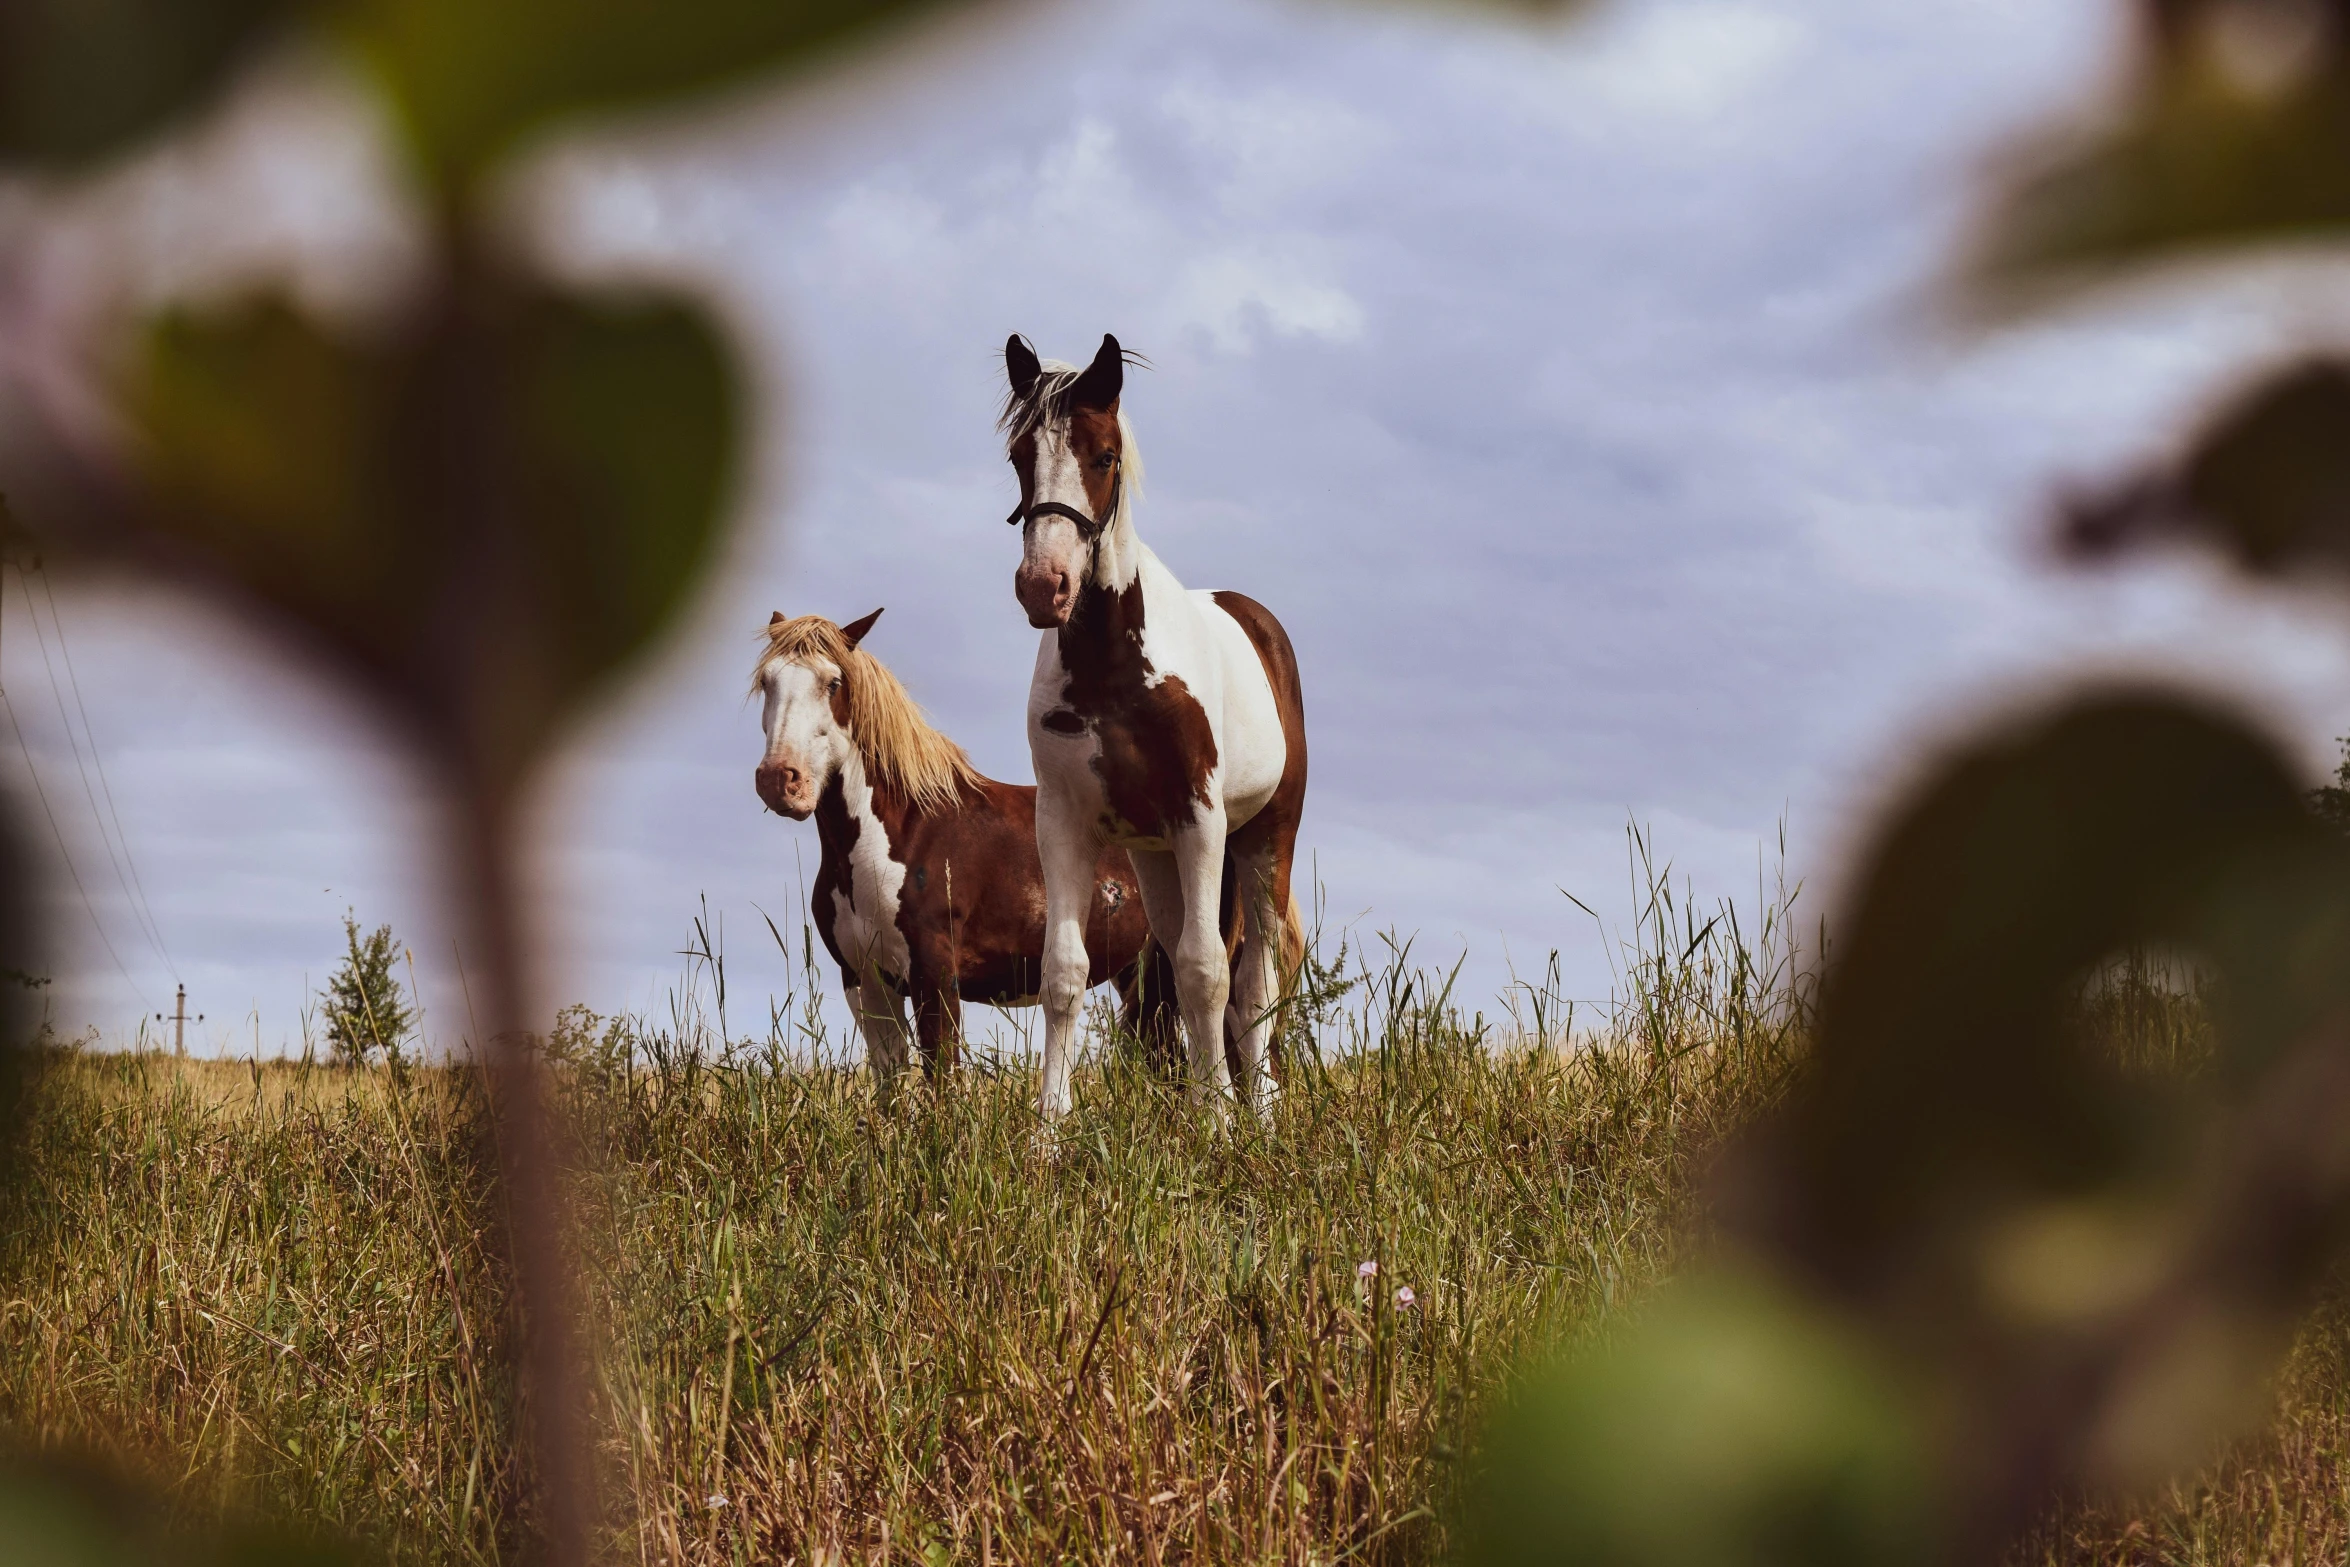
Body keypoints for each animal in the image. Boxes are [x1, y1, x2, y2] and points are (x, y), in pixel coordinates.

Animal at [1001, 338, 1316, 1122]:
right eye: (1020, 453)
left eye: (1105, 454)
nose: (1043, 586)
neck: (1115, 667)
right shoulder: (1065, 823)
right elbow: (1065, 974)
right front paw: (1047, 1129)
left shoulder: (1199, 818)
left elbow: (1209, 974)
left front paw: (1221, 1127)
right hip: (1156, 857)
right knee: (1182, 961)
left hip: (1264, 839)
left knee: (1251, 982)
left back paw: (1258, 1116)